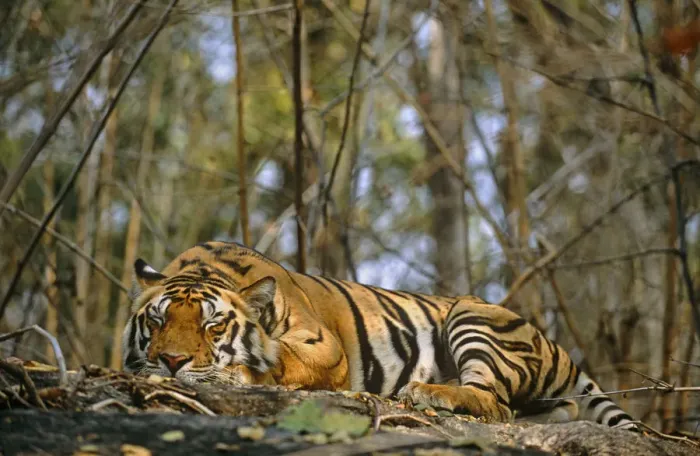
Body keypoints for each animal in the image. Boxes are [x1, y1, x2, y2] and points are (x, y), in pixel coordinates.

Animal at [122, 241, 637, 430]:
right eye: (157, 321)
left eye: (212, 325)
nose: (172, 362)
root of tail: (557, 346)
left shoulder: (324, 349)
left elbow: (277, 361)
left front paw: (231, 374)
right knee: (544, 408)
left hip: (472, 315)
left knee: (494, 402)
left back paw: (429, 392)